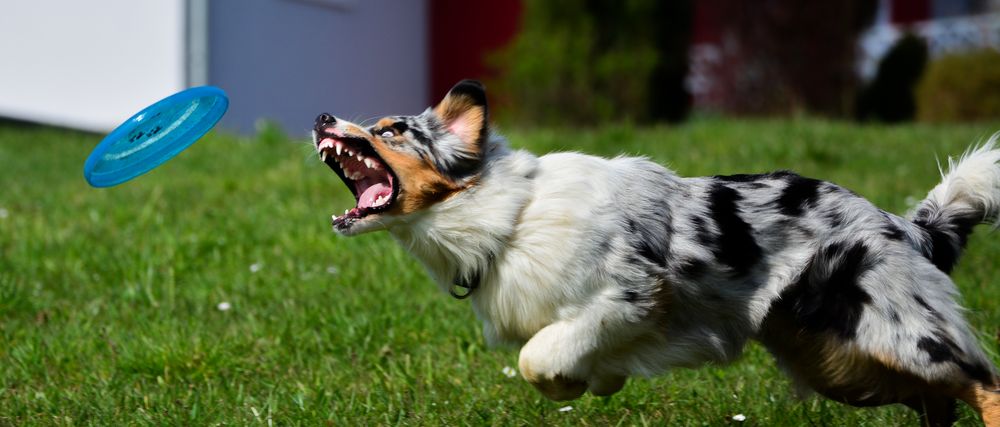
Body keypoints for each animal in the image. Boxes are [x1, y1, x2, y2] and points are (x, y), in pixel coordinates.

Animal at [312, 81, 1000, 427]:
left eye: (393, 129)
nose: (320, 117)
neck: (506, 217)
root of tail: (903, 226)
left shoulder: (629, 296)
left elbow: (537, 357)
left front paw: (571, 378)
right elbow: (564, 366)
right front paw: (588, 381)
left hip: (896, 335)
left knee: (981, 383)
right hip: (841, 364)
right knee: (941, 400)